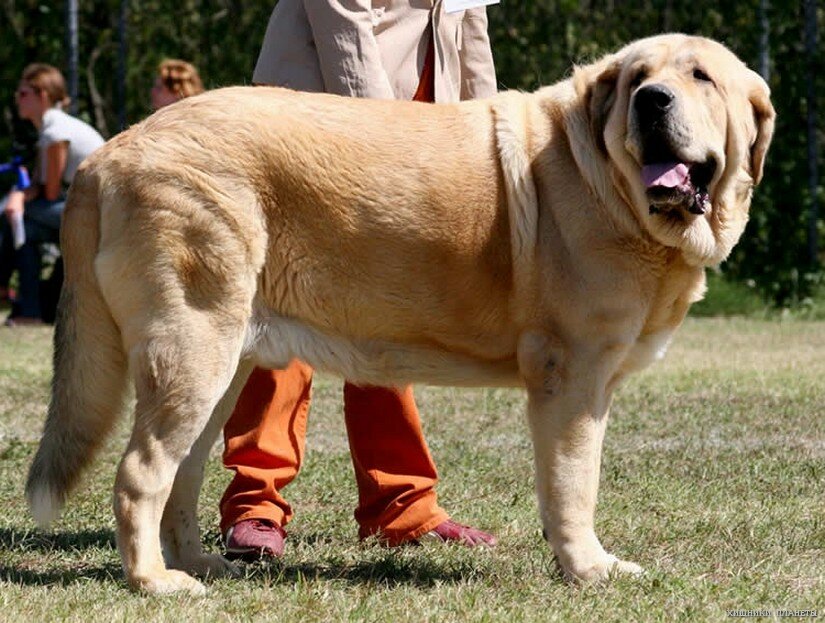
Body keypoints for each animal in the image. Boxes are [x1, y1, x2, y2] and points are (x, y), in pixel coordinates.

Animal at [25, 33, 772, 596]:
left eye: (700, 77)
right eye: (639, 78)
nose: (651, 101)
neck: (605, 178)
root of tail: (106, 155)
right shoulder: (573, 379)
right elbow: (572, 484)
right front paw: (587, 568)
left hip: (220, 361)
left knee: (182, 474)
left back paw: (198, 563)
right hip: (191, 348)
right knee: (141, 471)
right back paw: (155, 581)